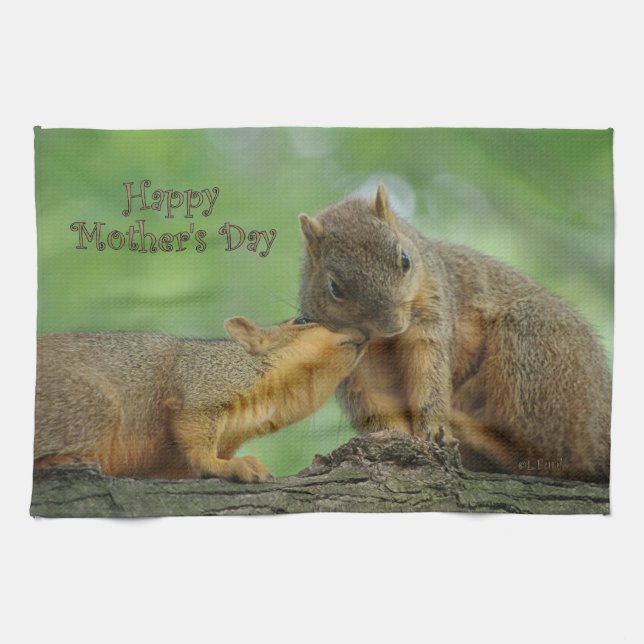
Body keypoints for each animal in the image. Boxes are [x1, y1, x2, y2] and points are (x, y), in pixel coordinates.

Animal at [34, 317, 367, 482]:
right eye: (302, 319)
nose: (365, 331)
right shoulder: (203, 384)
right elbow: (195, 439)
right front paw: (228, 467)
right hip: (88, 407)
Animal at [298, 184, 611, 482]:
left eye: (405, 259)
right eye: (335, 288)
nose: (393, 325)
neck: (382, 341)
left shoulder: (433, 311)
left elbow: (429, 369)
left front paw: (433, 427)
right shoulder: (349, 358)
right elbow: (373, 397)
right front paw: (394, 437)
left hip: (535, 339)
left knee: (556, 458)